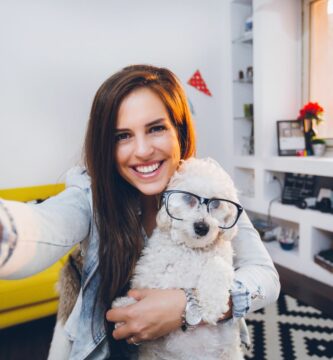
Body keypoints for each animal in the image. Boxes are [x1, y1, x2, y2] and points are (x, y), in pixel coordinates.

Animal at [113, 158, 245, 360]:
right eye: (188, 199)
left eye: (216, 204)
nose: (202, 227)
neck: (192, 249)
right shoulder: (148, 275)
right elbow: (149, 284)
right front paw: (124, 305)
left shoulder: (223, 262)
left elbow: (217, 265)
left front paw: (212, 305)